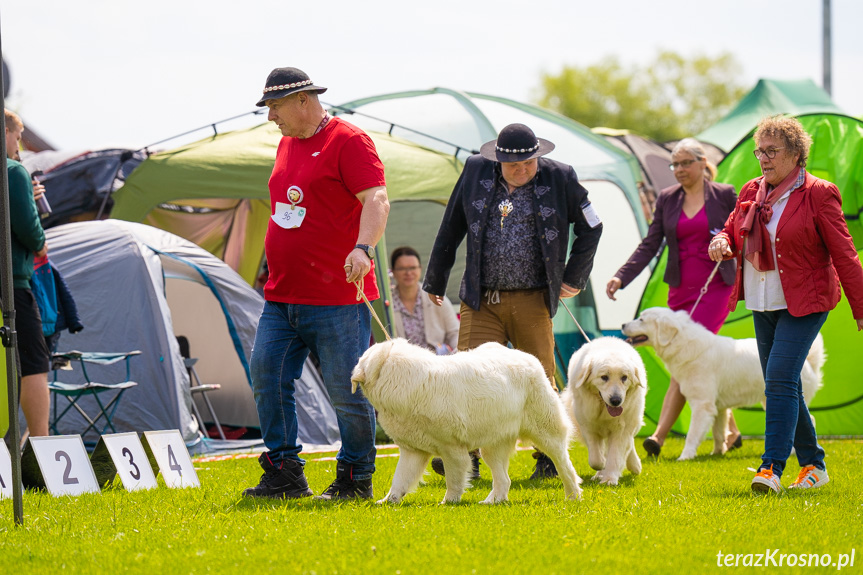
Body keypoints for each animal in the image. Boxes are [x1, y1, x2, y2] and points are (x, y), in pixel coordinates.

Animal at [348, 340, 584, 506]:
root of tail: (526, 357)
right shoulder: (412, 450)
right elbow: (400, 479)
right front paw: (388, 501)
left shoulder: (451, 449)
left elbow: (453, 478)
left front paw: (448, 502)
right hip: (492, 446)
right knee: (503, 479)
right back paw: (492, 501)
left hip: (546, 432)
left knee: (564, 464)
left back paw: (573, 495)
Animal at [560, 338, 648, 486]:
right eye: (604, 377)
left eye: (624, 377)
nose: (616, 400)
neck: (603, 410)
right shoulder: (588, 427)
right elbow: (595, 459)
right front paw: (601, 467)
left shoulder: (621, 430)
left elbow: (615, 456)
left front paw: (609, 479)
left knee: (629, 444)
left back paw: (635, 465)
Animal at [620, 308, 824, 462]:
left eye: (641, 319)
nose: (622, 324)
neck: (684, 345)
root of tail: (808, 362)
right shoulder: (717, 408)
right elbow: (718, 432)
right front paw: (717, 453)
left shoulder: (702, 405)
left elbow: (693, 434)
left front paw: (685, 457)